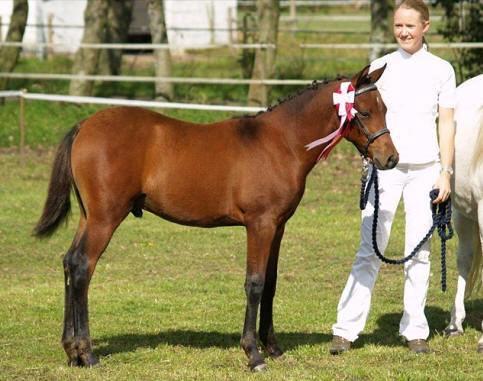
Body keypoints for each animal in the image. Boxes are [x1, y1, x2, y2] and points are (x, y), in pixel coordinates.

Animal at [34, 64, 398, 368]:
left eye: (386, 109)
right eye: (365, 111)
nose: (390, 158)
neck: (280, 143)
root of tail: (85, 125)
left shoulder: (278, 227)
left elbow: (271, 283)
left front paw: (273, 348)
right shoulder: (259, 225)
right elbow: (255, 283)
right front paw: (253, 354)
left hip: (88, 217)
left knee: (69, 263)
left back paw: (72, 351)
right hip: (105, 218)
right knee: (83, 267)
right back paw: (87, 353)